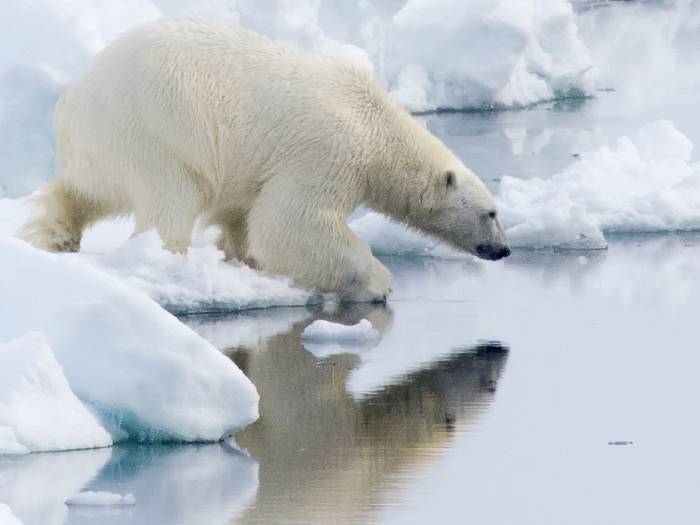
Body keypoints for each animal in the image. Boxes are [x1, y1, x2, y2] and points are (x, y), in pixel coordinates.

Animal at [23, 18, 508, 300]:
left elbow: (245, 214)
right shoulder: (328, 151)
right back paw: (169, 258)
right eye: (491, 212)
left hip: (102, 146)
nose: (503, 249)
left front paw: (246, 260)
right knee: (171, 199)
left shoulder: (256, 169)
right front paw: (378, 281)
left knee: (87, 189)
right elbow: (291, 223)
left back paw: (58, 234)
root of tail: (73, 100)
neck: (375, 124)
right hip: (159, 130)